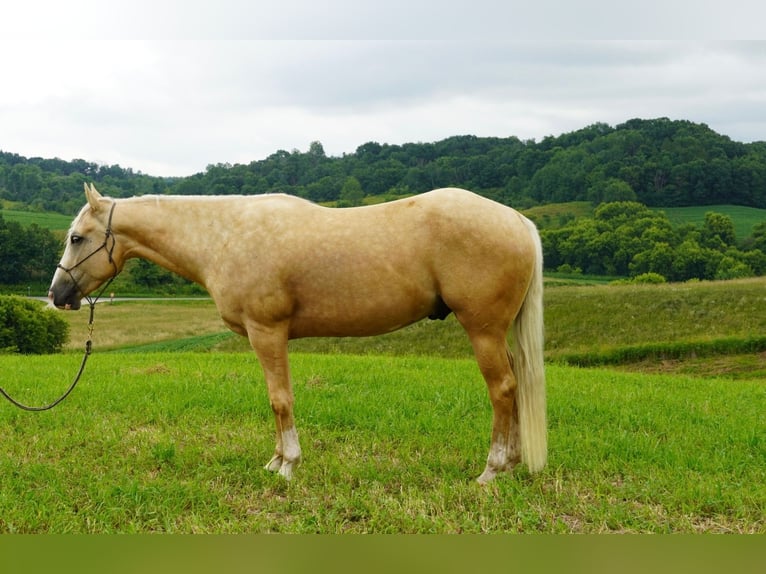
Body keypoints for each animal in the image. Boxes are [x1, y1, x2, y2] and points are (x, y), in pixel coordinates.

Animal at [49, 183, 546, 484]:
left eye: (76, 238)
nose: (57, 295)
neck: (225, 236)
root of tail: (517, 220)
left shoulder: (266, 332)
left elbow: (280, 399)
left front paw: (288, 465)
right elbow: (277, 401)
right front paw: (276, 459)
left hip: (483, 330)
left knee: (503, 390)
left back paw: (492, 471)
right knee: (514, 389)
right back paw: (511, 464)